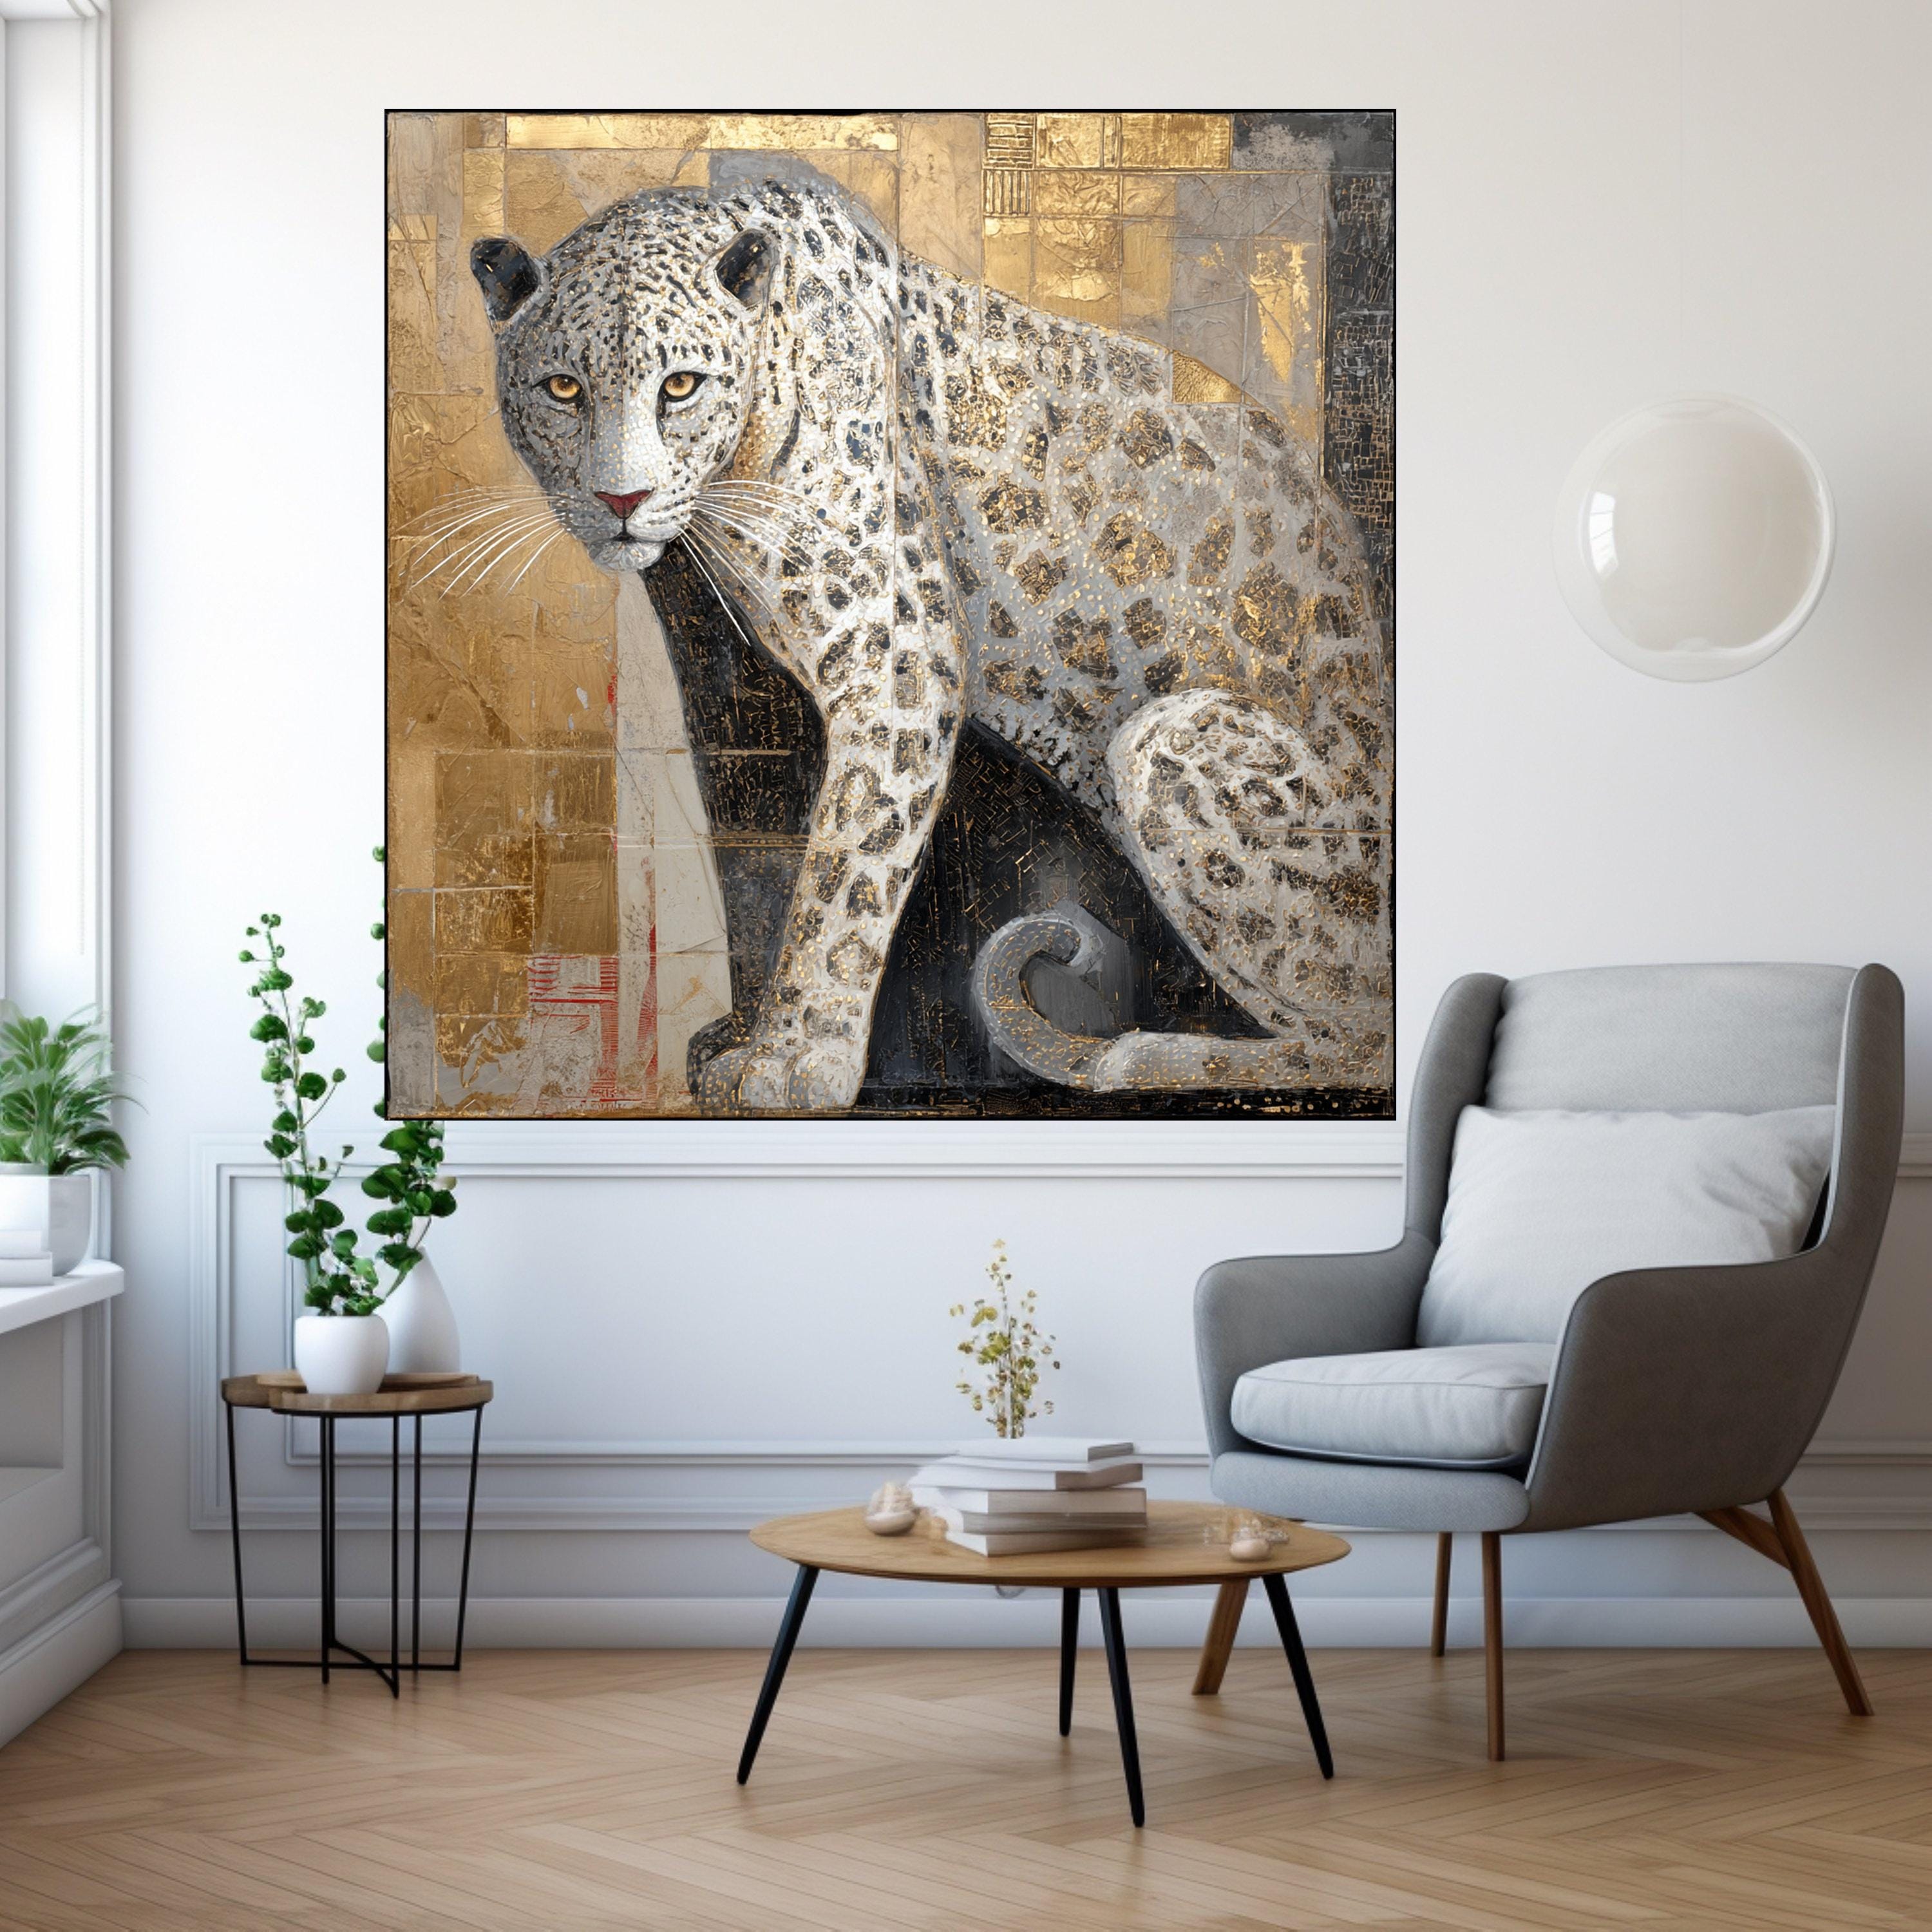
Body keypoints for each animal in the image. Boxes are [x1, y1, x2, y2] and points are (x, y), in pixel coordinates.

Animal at [471, 171, 1390, 1114]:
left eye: (681, 385)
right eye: (563, 390)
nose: (621, 500)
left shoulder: (895, 662)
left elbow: (844, 872)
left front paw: (798, 1058)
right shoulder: (726, 677)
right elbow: (754, 857)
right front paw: (744, 1041)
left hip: (1172, 736)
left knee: (1362, 1035)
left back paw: (1141, 1059)